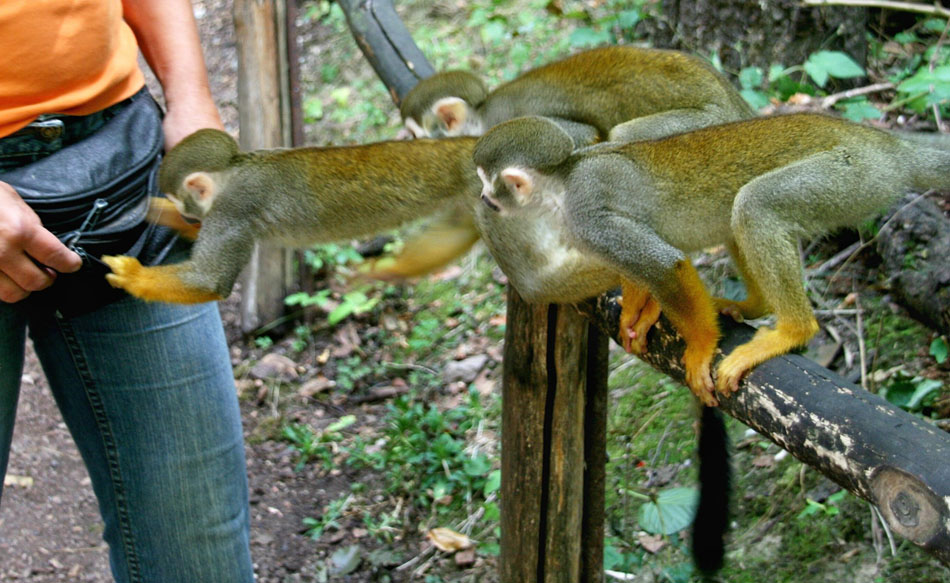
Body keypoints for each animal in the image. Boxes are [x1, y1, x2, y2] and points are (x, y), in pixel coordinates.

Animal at [102, 129, 484, 304]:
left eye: (182, 200)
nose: (183, 210)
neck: (233, 172)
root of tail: (467, 144)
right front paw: (152, 210)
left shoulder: (232, 211)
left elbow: (210, 281)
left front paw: (132, 275)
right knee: (461, 227)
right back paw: (394, 269)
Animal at [364, 45, 760, 280]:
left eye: (415, 134)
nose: (405, 142)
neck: (482, 116)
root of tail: (736, 102)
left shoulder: (510, 128)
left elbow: (575, 139)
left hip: (706, 124)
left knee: (620, 136)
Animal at [476, 114, 950, 406]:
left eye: (485, 181)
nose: (482, 197)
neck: (560, 185)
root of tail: (887, 144)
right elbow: (643, 265)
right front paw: (638, 310)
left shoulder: (588, 215)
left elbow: (665, 262)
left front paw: (701, 347)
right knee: (737, 215)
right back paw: (756, 306)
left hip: (851, 175)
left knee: (754, 204)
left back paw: (793, 329)